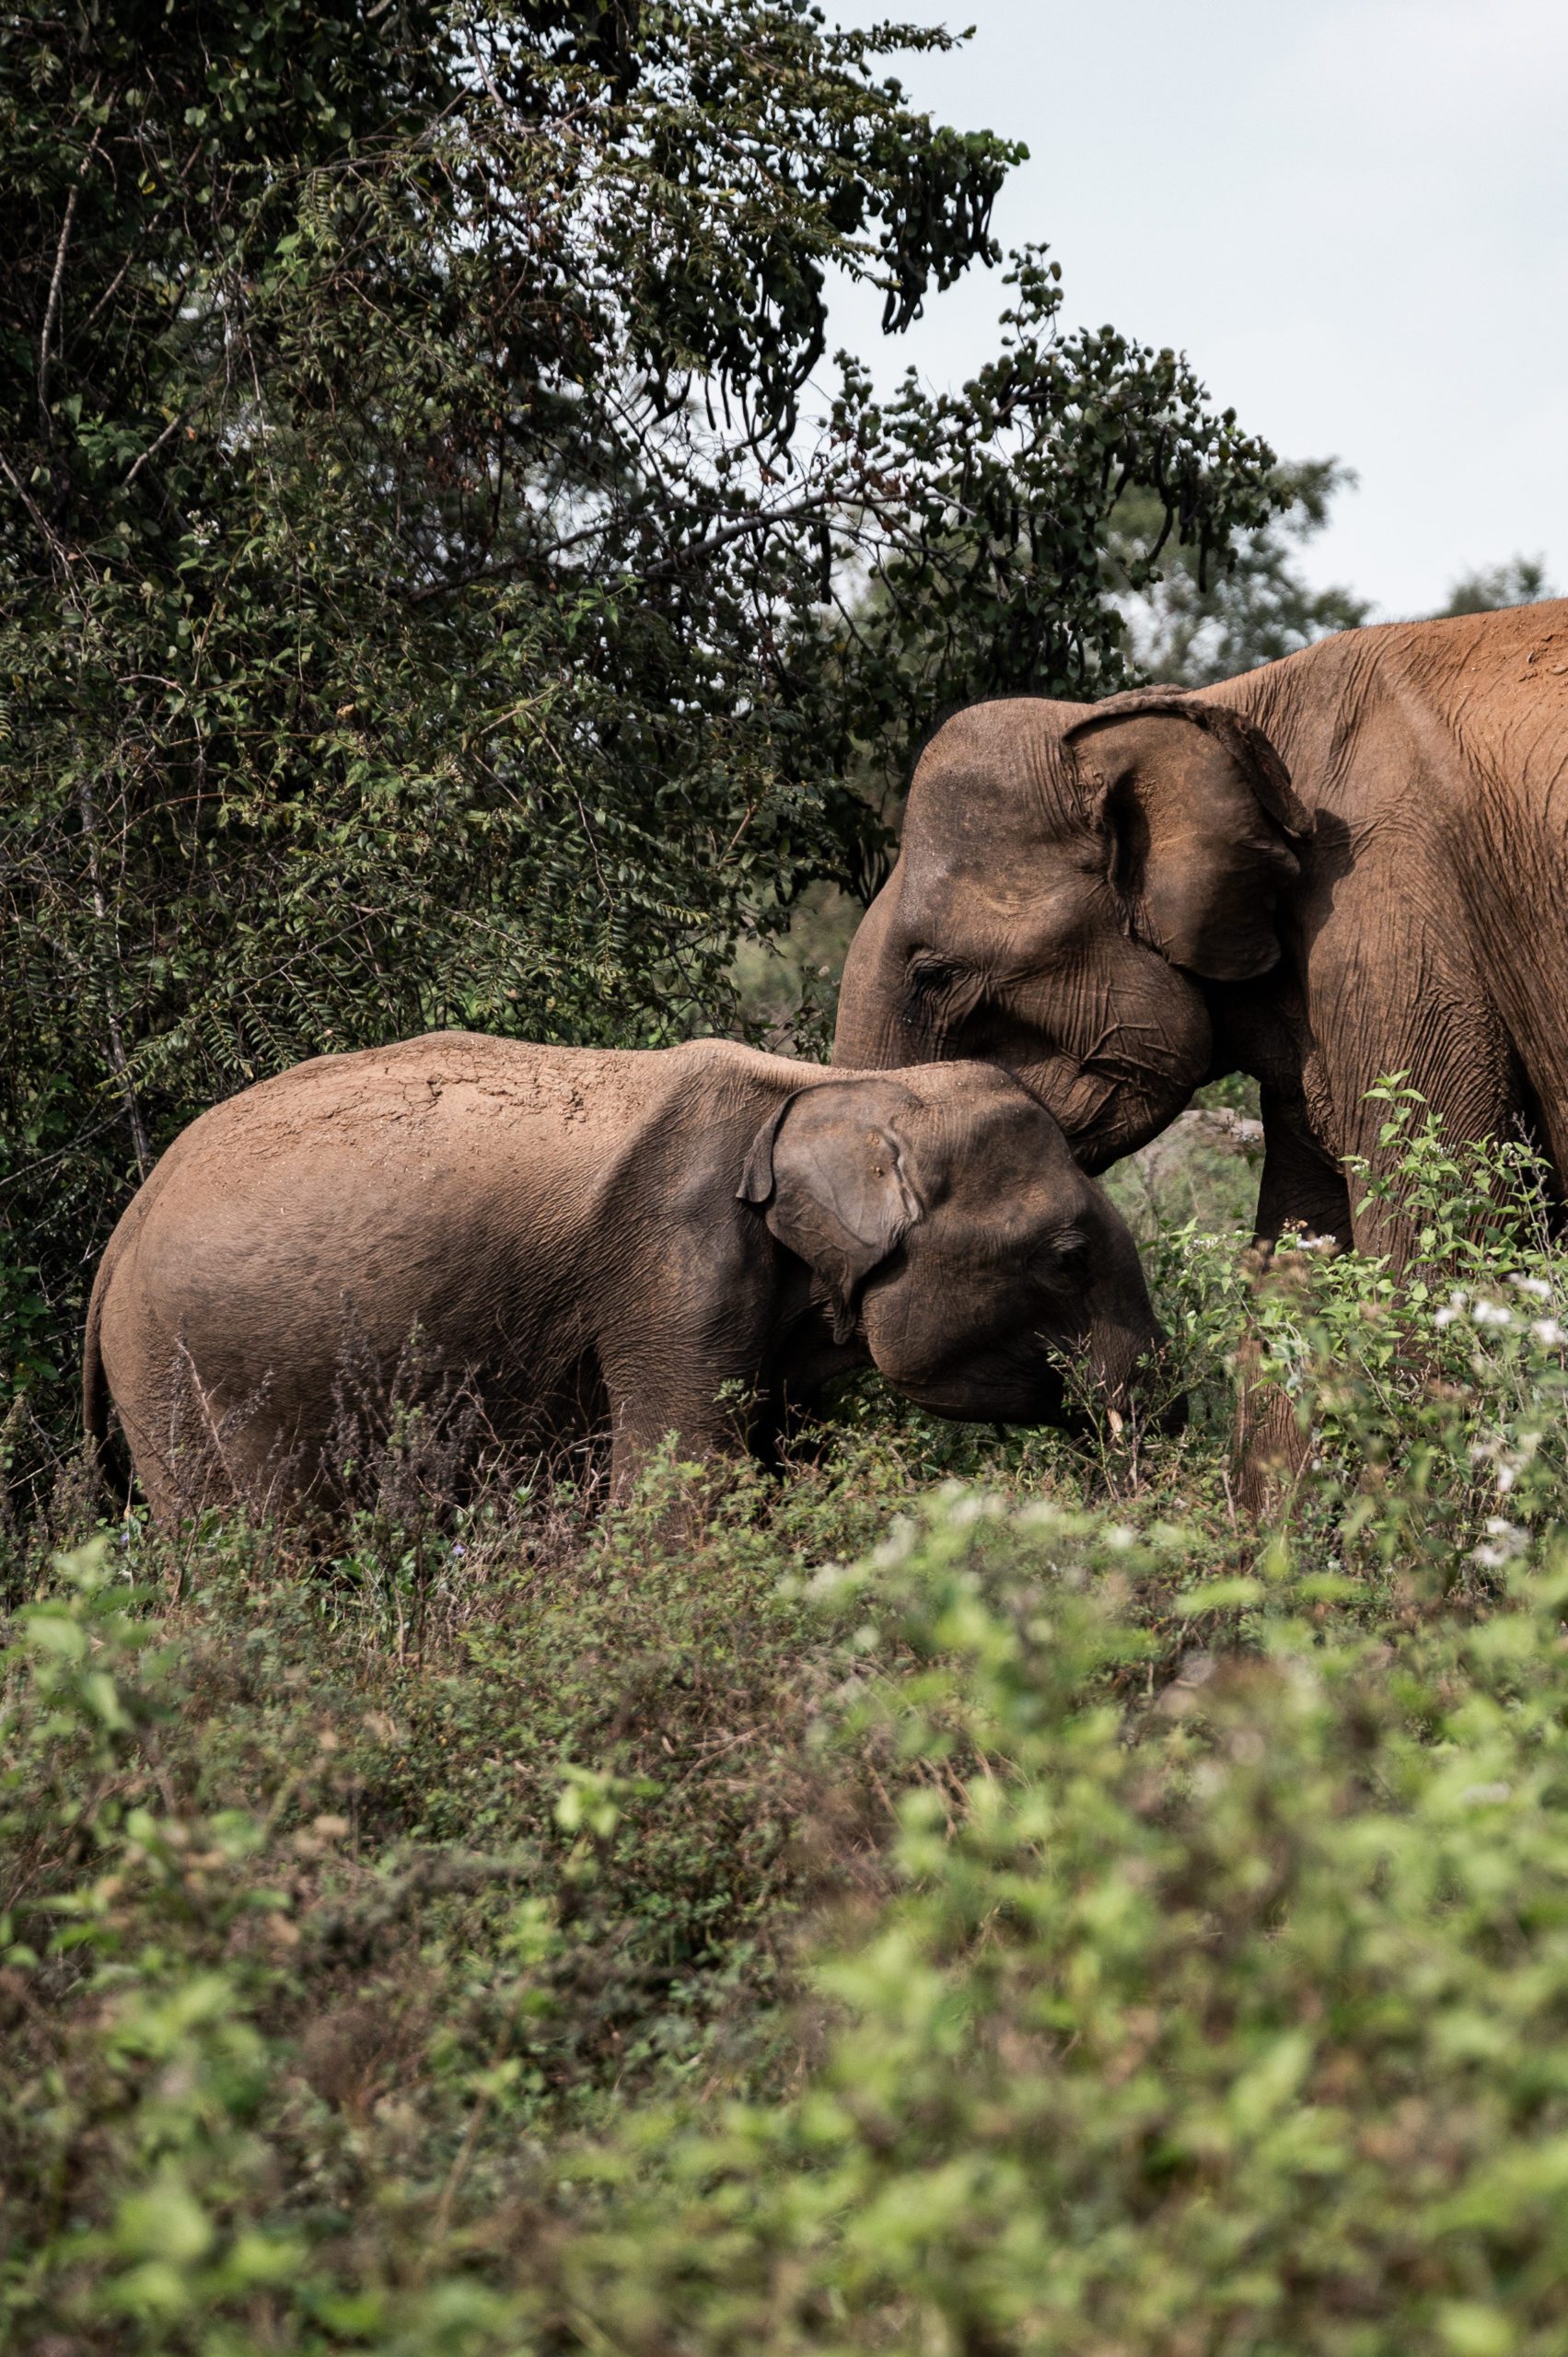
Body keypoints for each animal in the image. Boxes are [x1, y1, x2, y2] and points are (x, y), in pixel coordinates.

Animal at [82, 1028, 1159, 1508]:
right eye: (1066, 1258)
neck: (832, 1086)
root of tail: (126, 1228)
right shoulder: (674, 1268)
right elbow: (683, 1490)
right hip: (190, 1366)